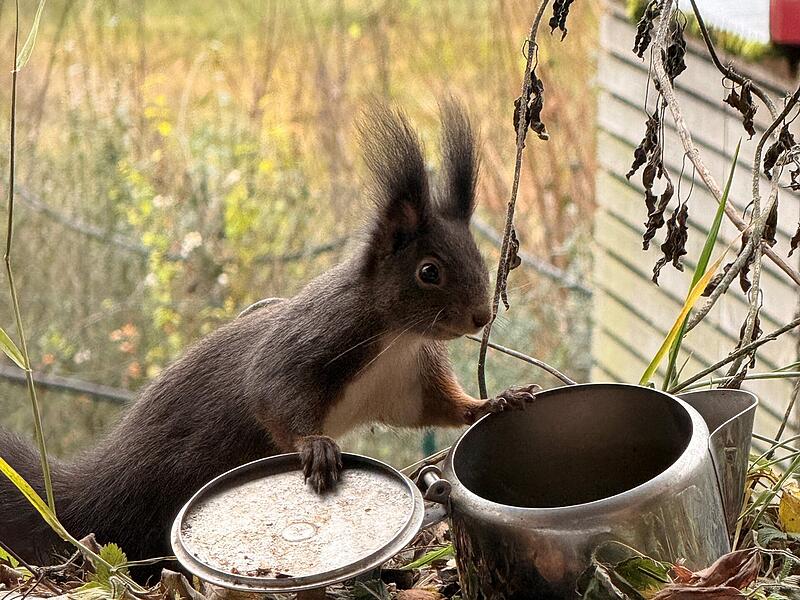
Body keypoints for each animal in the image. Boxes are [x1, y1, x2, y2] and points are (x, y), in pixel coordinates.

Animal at [0, 100, 538, 571]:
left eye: (478, 255)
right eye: (429, 272)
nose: (481, 316)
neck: (396, 336)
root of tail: (93, 491)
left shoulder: (404, 380)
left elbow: (440, 407)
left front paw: (495, 401)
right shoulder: (310, 342)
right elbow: (272, 394)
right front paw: (315, 446)